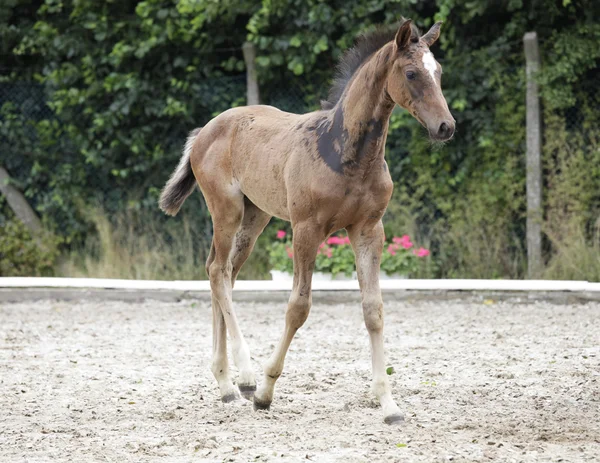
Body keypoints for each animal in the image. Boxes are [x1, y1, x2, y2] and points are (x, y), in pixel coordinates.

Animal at [159, 19, 454, 424]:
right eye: (411, 73)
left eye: (438, 71)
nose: (446, 126)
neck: (346, 152)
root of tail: (203, 131)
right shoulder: (306, 230)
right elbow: (298, 307)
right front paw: (265, 392)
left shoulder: (369, 230)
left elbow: (373, 310)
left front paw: (389, 404)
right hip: (226, 209)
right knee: (219, 272)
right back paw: (245, 377)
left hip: (256, 216)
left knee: (222, 272)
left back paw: (225, 383)